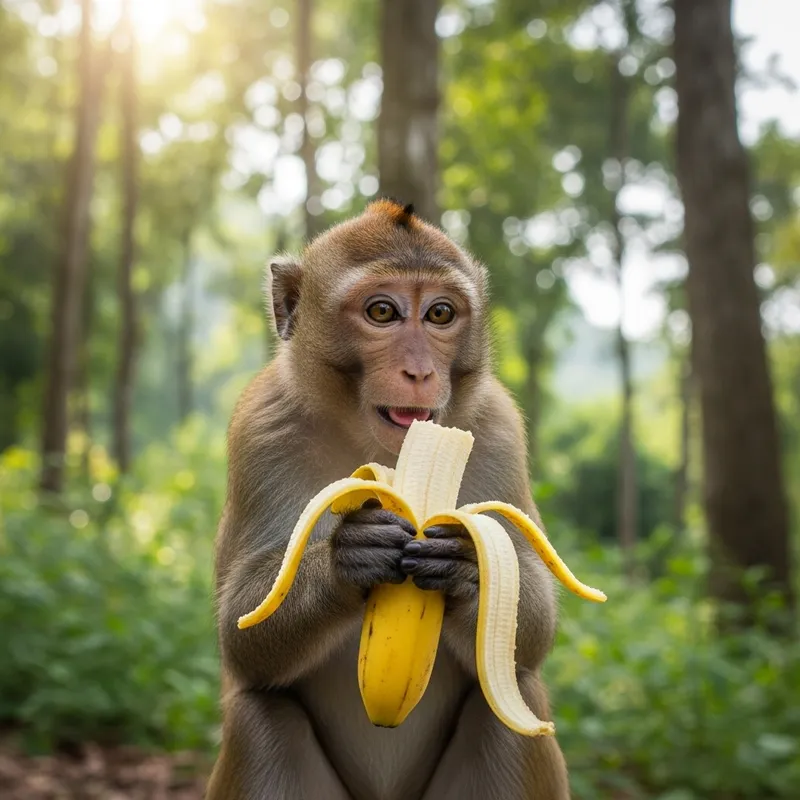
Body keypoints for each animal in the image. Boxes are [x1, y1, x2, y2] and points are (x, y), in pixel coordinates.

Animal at [205, 199, 570, 800]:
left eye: (440, 314)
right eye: (382, 312)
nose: (419, 371)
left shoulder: (498, 430)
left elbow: (529, 638)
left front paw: (467, 565)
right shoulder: (261, 428)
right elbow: (242, 636)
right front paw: (348, 558)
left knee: (508, 706)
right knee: (262, 714)